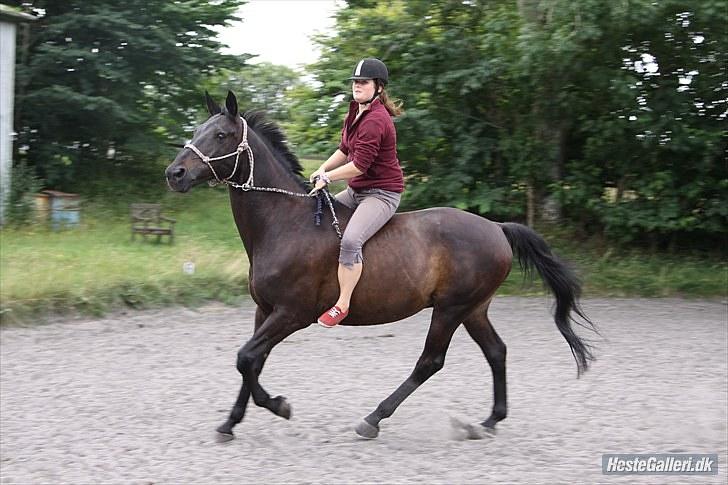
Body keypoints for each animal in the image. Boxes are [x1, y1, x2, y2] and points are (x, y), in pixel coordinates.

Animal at [166, 91, 596, 442]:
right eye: (198, 129)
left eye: (221, 135)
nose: (175, 174)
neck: (285, 222)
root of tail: (497, 228)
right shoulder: (265, 311)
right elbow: (252, 362)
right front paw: (230, 422)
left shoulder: (292, 314)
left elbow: (246, 359)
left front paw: (279, 406)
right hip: (474, 309)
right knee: (496, 352)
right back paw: (488, 421)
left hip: (451, 308)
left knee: (430, 361)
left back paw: (374, 418)